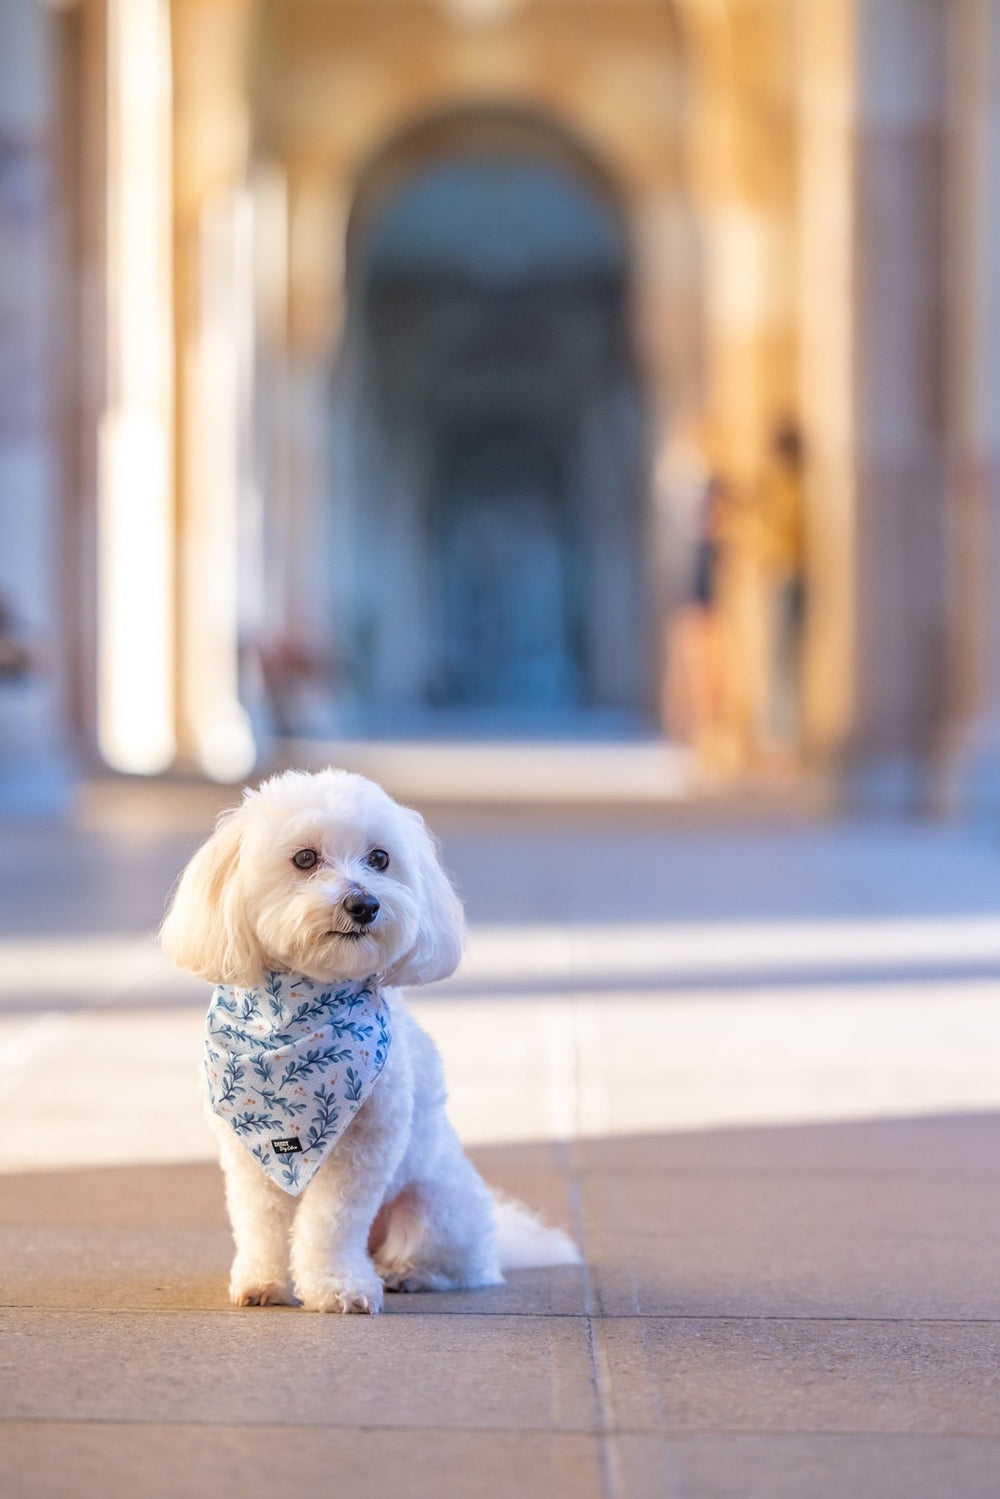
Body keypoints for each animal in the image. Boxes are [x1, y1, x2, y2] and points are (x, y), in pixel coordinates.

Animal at [157, 767, 578, 1319]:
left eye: (379, 858)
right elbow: (260, 1223)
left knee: (454, 1265)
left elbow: (331, 1224)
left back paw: (405, 1273)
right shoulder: (250, 1154)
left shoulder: (364, 1150)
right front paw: (262, 1281)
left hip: (435, 1205)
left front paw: (337, 1285)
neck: (298, 1011)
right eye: (305, 859)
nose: (364, 904)